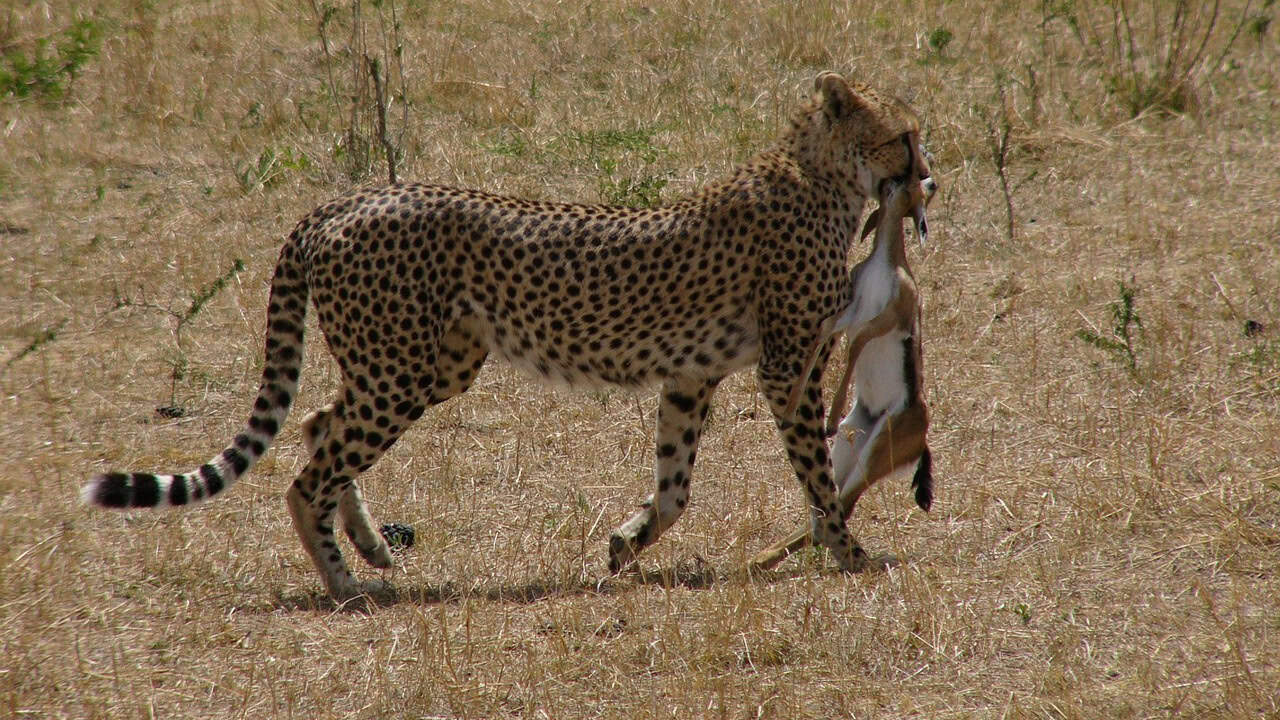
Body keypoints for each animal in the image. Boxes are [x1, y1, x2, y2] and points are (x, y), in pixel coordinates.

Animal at [81, 71, 935, 601]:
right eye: (904, 136)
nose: (928, 179)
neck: (821, 175)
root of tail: (346, 200)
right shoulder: (787, 369)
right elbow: (817, 477)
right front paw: (850, 554)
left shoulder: (691, 377)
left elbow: (676, 485)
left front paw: (626, 542)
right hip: (402, 371)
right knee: (307, 474)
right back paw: (346, 584)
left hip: (427, 364)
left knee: (321, 424)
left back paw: (370, 546)